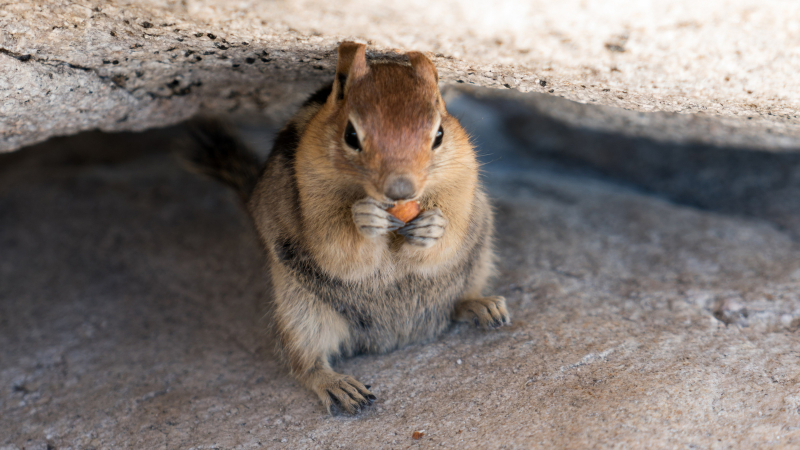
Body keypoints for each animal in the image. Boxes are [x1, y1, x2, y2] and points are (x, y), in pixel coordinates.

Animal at [187, 42, 510, 414]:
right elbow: (337, 248)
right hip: (300, 308)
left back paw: (483, 306)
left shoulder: (461, 176)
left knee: (458, 299)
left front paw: (433, 226)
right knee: (305, 363)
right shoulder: (313, 193)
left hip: (478, 259)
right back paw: (339, 386)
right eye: (351, 136)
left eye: (439, 135)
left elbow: (452, 227)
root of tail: (397, 339)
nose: (401, 190)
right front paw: (363, 219)